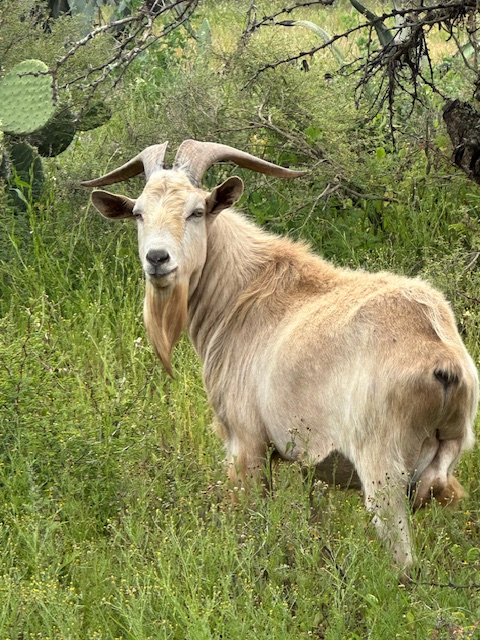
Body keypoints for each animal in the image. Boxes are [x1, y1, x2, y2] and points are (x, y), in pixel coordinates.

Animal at [83, 139, 478, 575]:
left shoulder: (246, 442)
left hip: (382, 471)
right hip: (445, 457)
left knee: (403, 560)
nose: (158, 259)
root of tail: (440, 354)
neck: (242, 292)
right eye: (138, 212)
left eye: (196, 210)